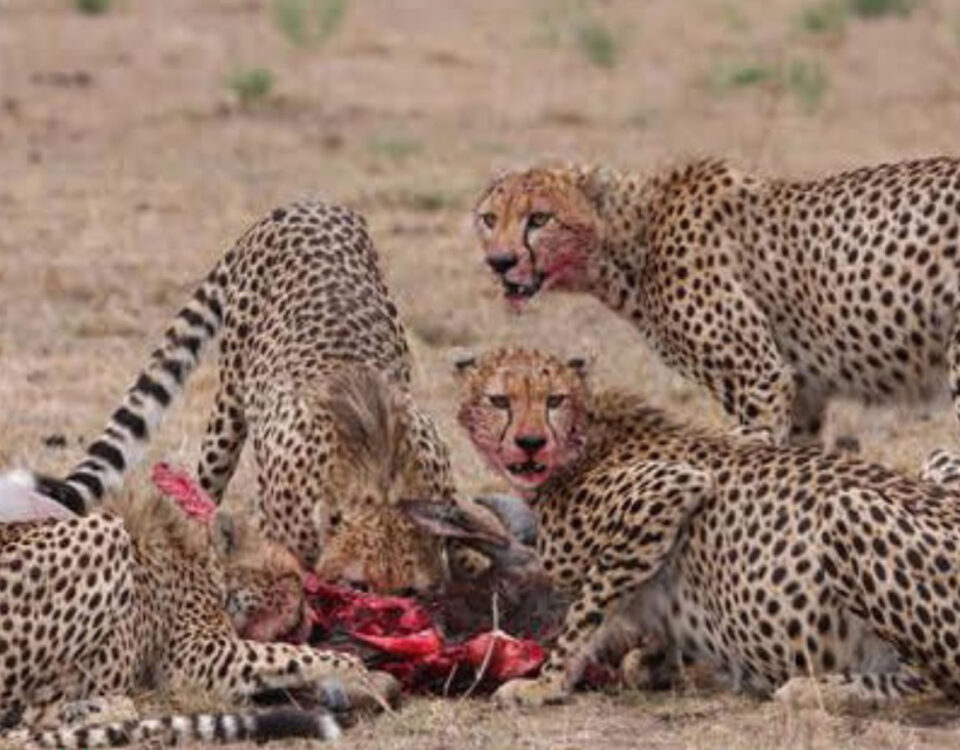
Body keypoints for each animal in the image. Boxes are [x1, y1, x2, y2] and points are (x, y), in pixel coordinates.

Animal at [0, 480, 399, 748]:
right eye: (292, 580)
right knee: (37, 719)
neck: (207, 566)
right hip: (106, 531)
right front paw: (361, 675)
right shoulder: (197, 656)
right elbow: (291, 654)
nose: (311, 620)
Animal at [455, 346, 960, 710]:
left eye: (554, 400)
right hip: (939, 458)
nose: (530, 442)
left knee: (933, 683)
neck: (587, 439)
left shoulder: (671, 489)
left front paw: (544, 684)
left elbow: (585, 613)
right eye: (499, 401)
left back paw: (821, 690)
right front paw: (653, 662)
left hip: (846, 509)